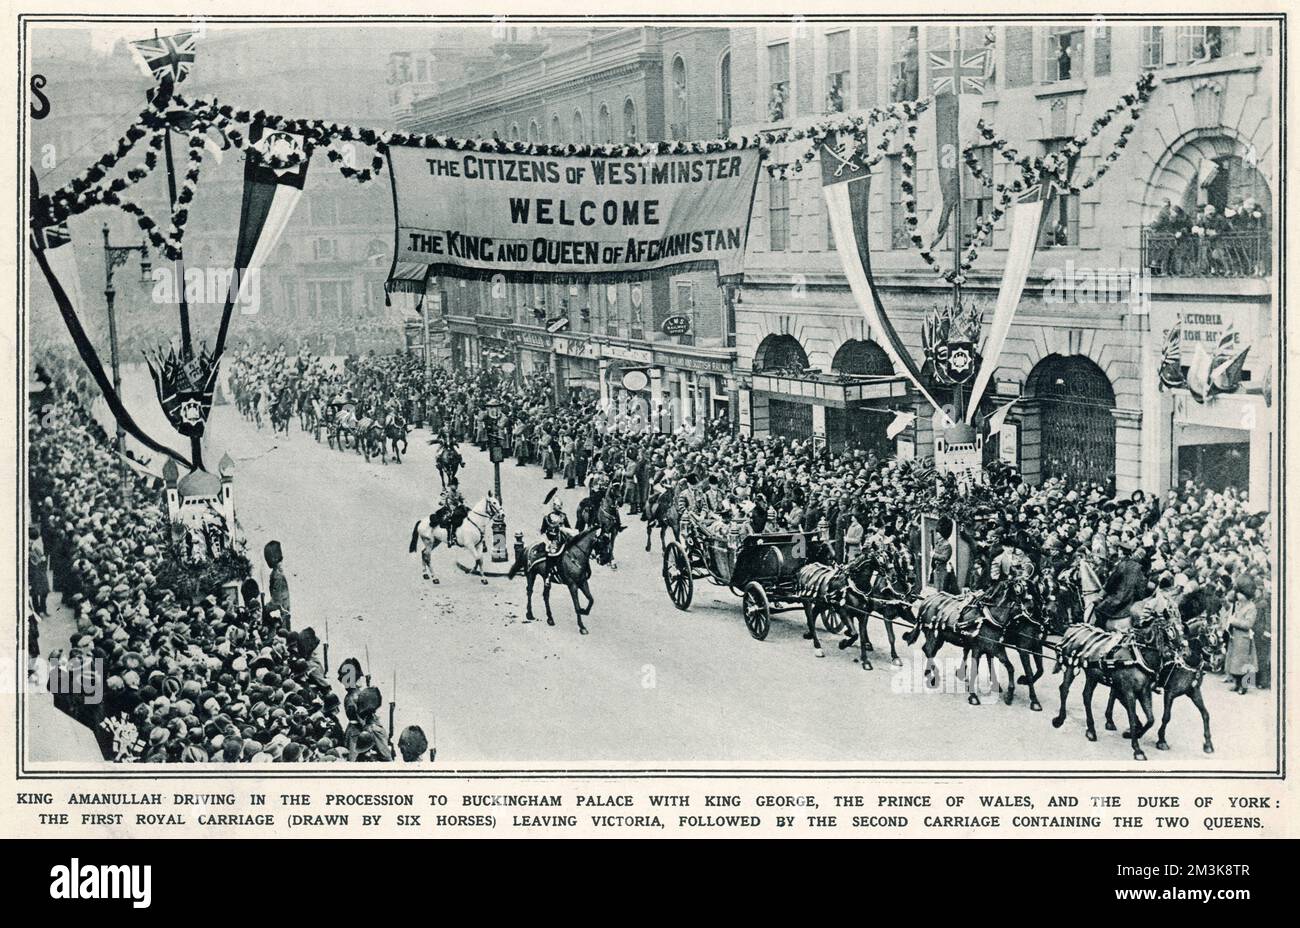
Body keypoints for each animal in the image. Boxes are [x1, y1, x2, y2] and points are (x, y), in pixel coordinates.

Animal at [1045, 592, 1190, 759]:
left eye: (1183, 628)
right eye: (1171, 629)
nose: (1186, 651)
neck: (1139, 654)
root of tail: (1073, 627)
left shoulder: (1144, 691)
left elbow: (1151, 719)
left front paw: (1134, 734)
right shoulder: (1128, 691)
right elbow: (1132, 717)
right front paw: (1137, 749)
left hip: (1092, 675)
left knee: (1086, 696)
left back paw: (1091, 730)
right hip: (1070, 666)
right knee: (1064, 689)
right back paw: (1060, 720)